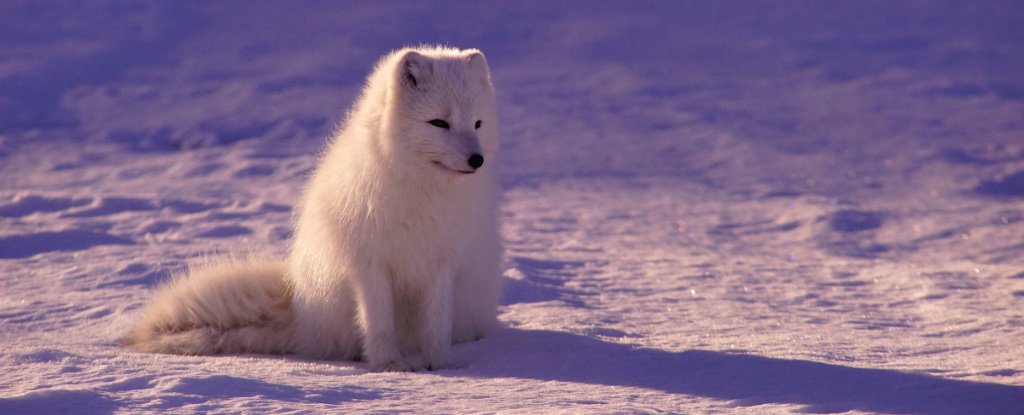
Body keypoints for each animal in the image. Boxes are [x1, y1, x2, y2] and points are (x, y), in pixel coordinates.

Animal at [125, 46, 501, 370]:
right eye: (439, 123)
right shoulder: (369, 264)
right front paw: (389, 366)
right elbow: (378, 324)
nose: (477, 160)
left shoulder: (443, 263)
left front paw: (441, 366)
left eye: (478, 124)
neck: (422, 191)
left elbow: (436, 325)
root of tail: (301, 313)